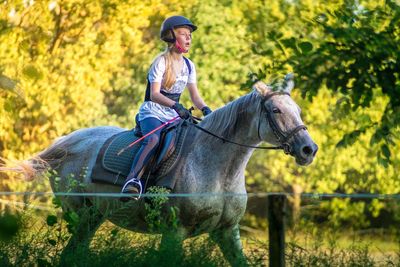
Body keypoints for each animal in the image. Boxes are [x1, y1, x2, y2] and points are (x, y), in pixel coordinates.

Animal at [2, 75, 316, 266]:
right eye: (275, 110)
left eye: (298, 110)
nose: (308, 149)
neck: (218, 168)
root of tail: (67, 143)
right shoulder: (175, 233)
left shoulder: (227, 232)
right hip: (82, 217)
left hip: (92, 218)